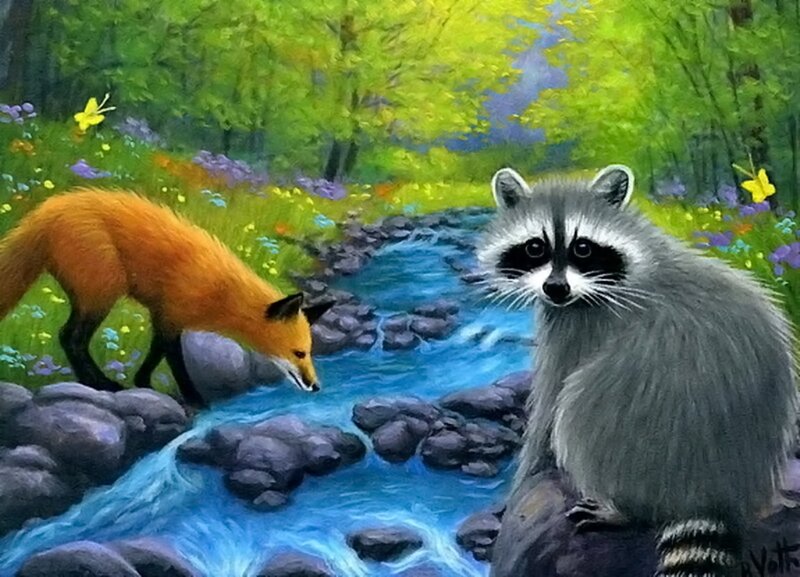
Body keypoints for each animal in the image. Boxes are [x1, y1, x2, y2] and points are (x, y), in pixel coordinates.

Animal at [0, 189, 334, 407]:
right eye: (299, 353)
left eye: (309, 352)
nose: (316, 386)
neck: (221, 292)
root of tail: (46, 209)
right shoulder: (171, 315)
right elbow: (175, 362)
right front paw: (194, 399)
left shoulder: (164, 317)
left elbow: (154, 356)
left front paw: (144, 385)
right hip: (102, 292)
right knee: (70, 337)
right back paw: (99, 384)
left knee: (71, 338)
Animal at [477, 165, 798, 577]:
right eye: (535, 247)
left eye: (583, 248)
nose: (555, 287)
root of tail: (708, 483)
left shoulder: (583, 323)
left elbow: (549, 402)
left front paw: (525, 472)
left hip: (630, 420)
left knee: (575, 411)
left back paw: (622, 509)